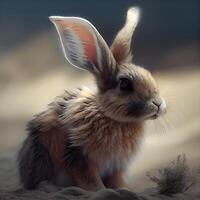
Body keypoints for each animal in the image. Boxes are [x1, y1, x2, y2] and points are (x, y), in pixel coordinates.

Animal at [18, 7, 166, 191]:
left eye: (148, 74)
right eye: (125, 84)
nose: (158, 104)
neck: (111, 117)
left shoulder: (116, 167)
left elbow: (116, 182)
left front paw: (123, 190)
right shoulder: (79, 157)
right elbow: (91, 180)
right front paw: (99, 191)